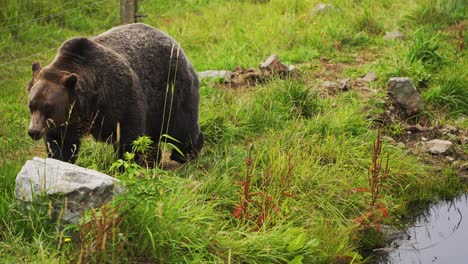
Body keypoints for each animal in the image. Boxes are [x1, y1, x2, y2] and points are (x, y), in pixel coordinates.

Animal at [27, 22, 203, 164]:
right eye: (31, 106)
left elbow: (128, 136)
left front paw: (127, 164)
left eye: (48, 107)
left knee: (181, 124)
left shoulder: (117, 95)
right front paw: (59, 160)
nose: (33, 131)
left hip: (170, 90)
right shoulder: (67, 119)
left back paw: (185, 153)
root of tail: (174, 42)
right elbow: (60, 142)